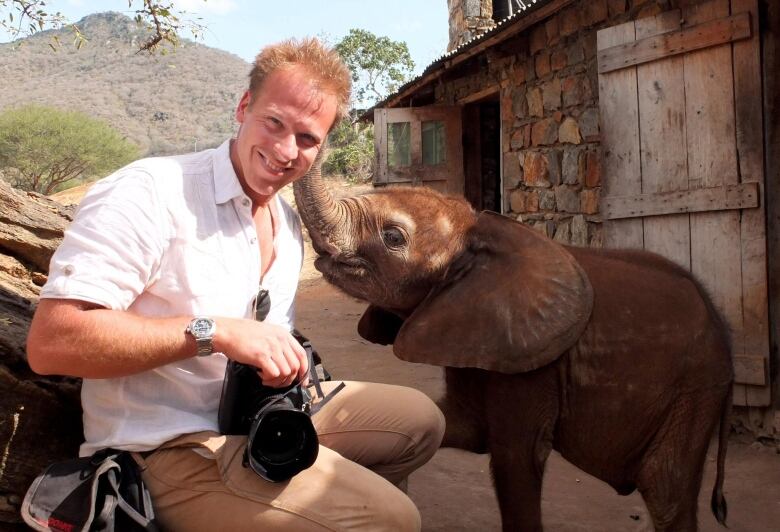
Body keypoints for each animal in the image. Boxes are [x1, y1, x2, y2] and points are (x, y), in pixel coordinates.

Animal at [290, 163, 732, 532]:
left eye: (394, 237)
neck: (476, 234)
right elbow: (454, 424)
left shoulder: (534, 364)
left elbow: (515, 458)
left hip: (694, 389)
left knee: (666, 490)